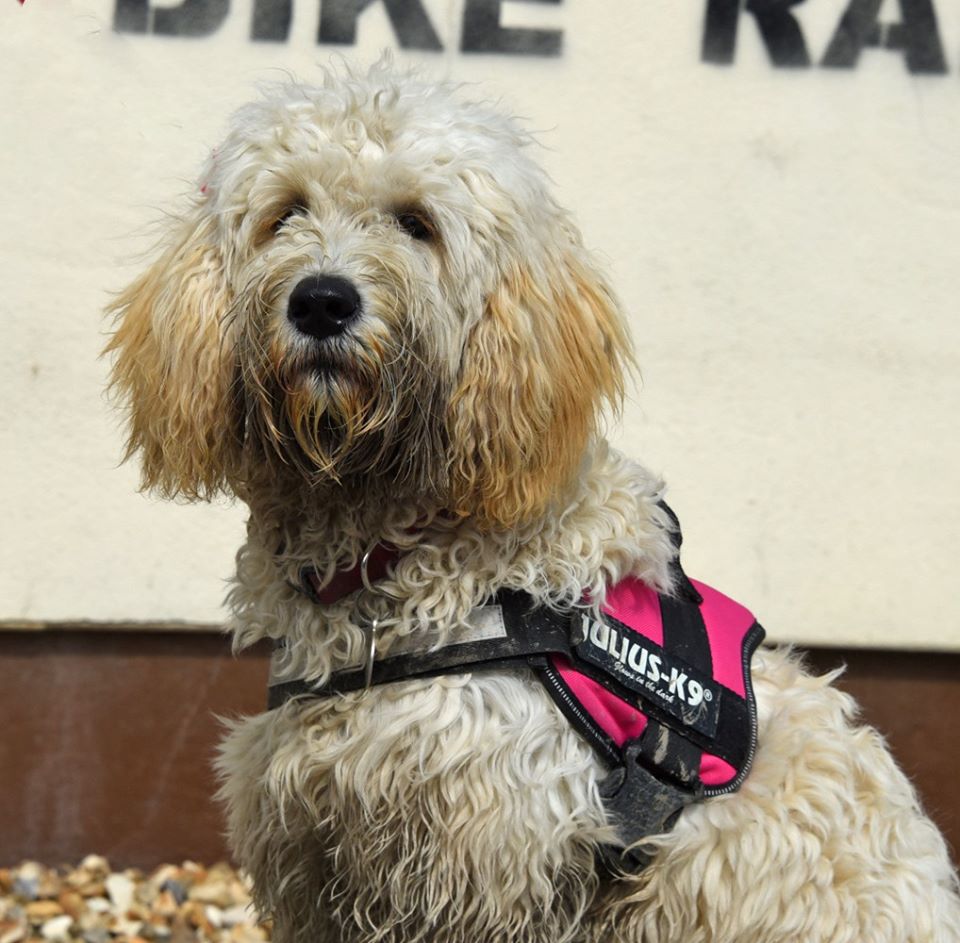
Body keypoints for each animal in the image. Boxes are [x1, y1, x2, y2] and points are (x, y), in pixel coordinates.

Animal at [105, 64, 960, 943]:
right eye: (287, 212)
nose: (321, 301)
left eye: (416, 223)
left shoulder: (484, 855)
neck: (390, 553)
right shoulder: (317, 844)